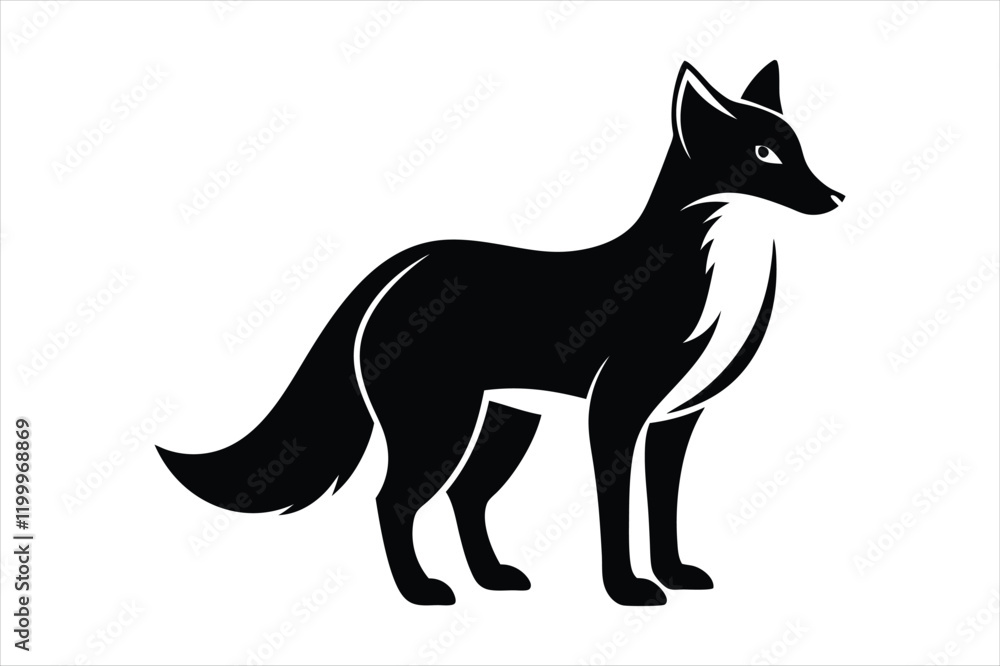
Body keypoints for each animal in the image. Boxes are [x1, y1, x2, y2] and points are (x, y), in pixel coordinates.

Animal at [158, 61, 843, 606]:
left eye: (799, 149)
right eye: (764, 155)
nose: (836, 196)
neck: (722, 268)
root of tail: (406, 263)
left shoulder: (677, 419)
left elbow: (664, 509)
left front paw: (673, 576)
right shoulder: (615, 412)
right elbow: (617, 511)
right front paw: (627, 590)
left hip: (507, 422)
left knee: (466, 498)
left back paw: (491, 579)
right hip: (440, 427)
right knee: (392, 501)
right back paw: (422, 592)